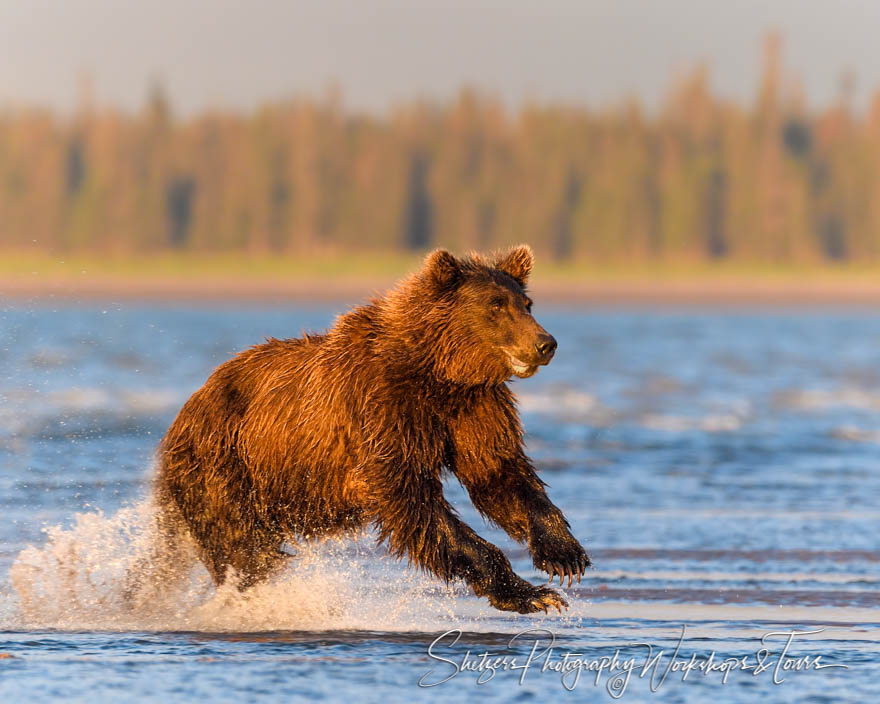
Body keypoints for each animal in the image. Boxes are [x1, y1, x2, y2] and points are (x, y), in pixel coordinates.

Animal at [144, 246, 592, 612]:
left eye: (527, 303)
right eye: (495, 305)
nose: (545, 343)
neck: (439, 373)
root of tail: (186, 410)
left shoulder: (474, 410)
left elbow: (498, 473)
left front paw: (563, 556)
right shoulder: (385, 413)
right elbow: (415, 503)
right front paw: (531, 594)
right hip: (226, 464)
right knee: (244, 547)